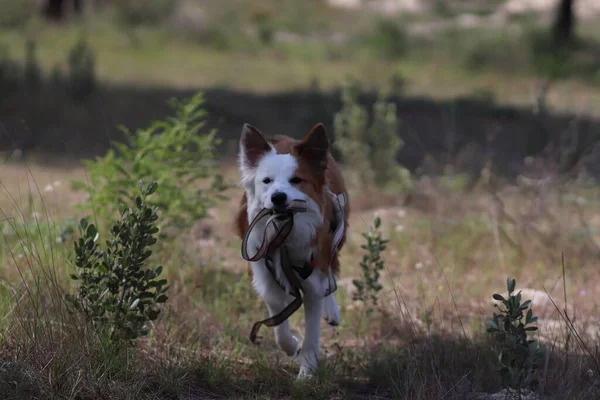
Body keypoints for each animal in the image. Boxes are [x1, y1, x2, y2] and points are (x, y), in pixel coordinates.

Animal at [233, 123, 350, 380]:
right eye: (266, 181)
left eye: (297, 180)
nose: (278, 197)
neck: (285, 235)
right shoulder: (265, 276)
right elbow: (278, 322)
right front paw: (291, 346)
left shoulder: (314, 280)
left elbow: (312, 334)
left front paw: (306, 373)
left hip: (339, 234)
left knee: (331, 268)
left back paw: (332, 310)